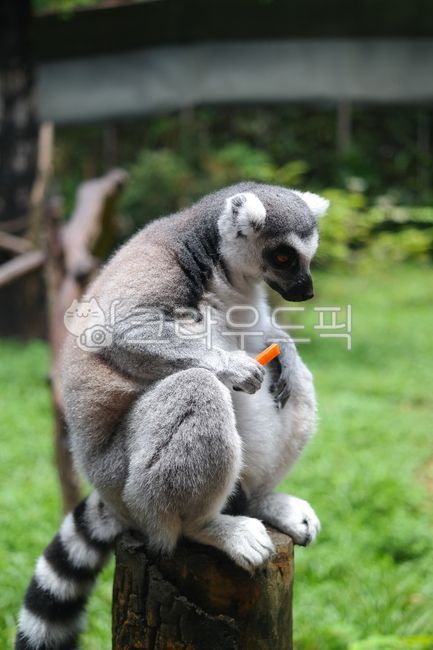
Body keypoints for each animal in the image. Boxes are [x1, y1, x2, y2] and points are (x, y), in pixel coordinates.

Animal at [16, 182, 329, 650]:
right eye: (284, 257)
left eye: (307, 255)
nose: (306, 292)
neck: (219, 268)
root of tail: (110, 495)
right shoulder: (157, 268)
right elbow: (119, 330)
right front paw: (232, 366)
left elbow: (263, 337)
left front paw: (284, 350)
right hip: (123, 478)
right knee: (195, 389)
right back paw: (207, 526)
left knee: (295, 384)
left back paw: (263, 500)